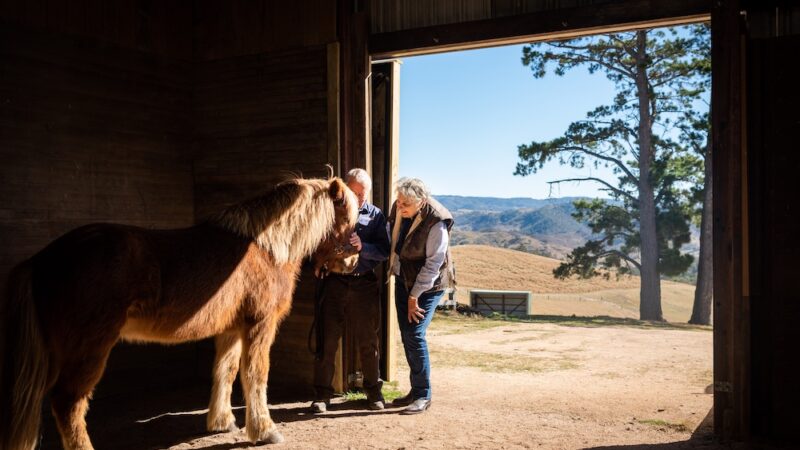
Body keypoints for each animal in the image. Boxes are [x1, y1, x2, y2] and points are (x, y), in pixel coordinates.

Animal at [0, 176, 358, 450]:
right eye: (349, 218)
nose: (353, 262)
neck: (265, 246)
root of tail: (41, 261)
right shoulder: (259, 324)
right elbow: (255, 374)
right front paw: (265, 430)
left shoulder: (232, 328)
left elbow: (225, 371)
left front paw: (222, 422)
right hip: (89, 349)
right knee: (68, 403)